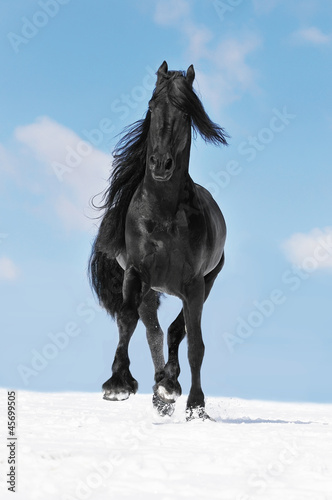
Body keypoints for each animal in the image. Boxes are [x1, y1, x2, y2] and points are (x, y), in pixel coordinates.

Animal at [89, 61, 227, 422]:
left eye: (186, 111)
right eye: (152, 106)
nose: (161, 164)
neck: (163, 215)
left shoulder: (194, 285)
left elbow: (194, 345)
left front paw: (196, 406)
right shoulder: (136, 273)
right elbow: (127, 320)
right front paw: (118, 384)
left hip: (203, 284)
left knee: (175, 332)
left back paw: (168, 387)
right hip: (151, 289)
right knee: (153, 331)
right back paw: (161, 392)